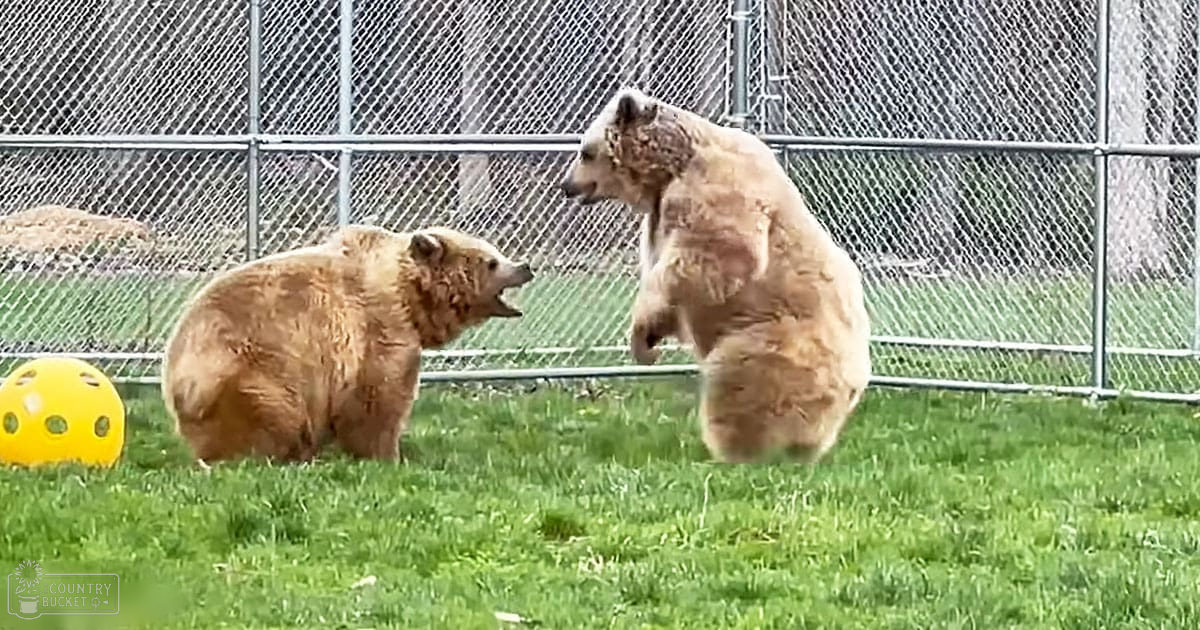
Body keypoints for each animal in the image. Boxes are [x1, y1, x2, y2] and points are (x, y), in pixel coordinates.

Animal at [160, 224, 534, 463]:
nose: (525, 266)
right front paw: (387, 455)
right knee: (268, 417)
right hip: (250, 372)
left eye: (497, 252)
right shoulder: (378, 329)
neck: (410, 297)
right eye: (492, 261)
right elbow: (379, 398)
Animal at [558, 87, 871, 464]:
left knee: (741, 382)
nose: (566, 185)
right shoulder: (661, 213)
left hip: (777, 342)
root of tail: (856, 377)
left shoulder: (712, 190)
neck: (669, 170)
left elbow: (708, 258)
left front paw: (641, 338)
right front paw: (649, 342)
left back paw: (737, 451)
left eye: (585, 151)